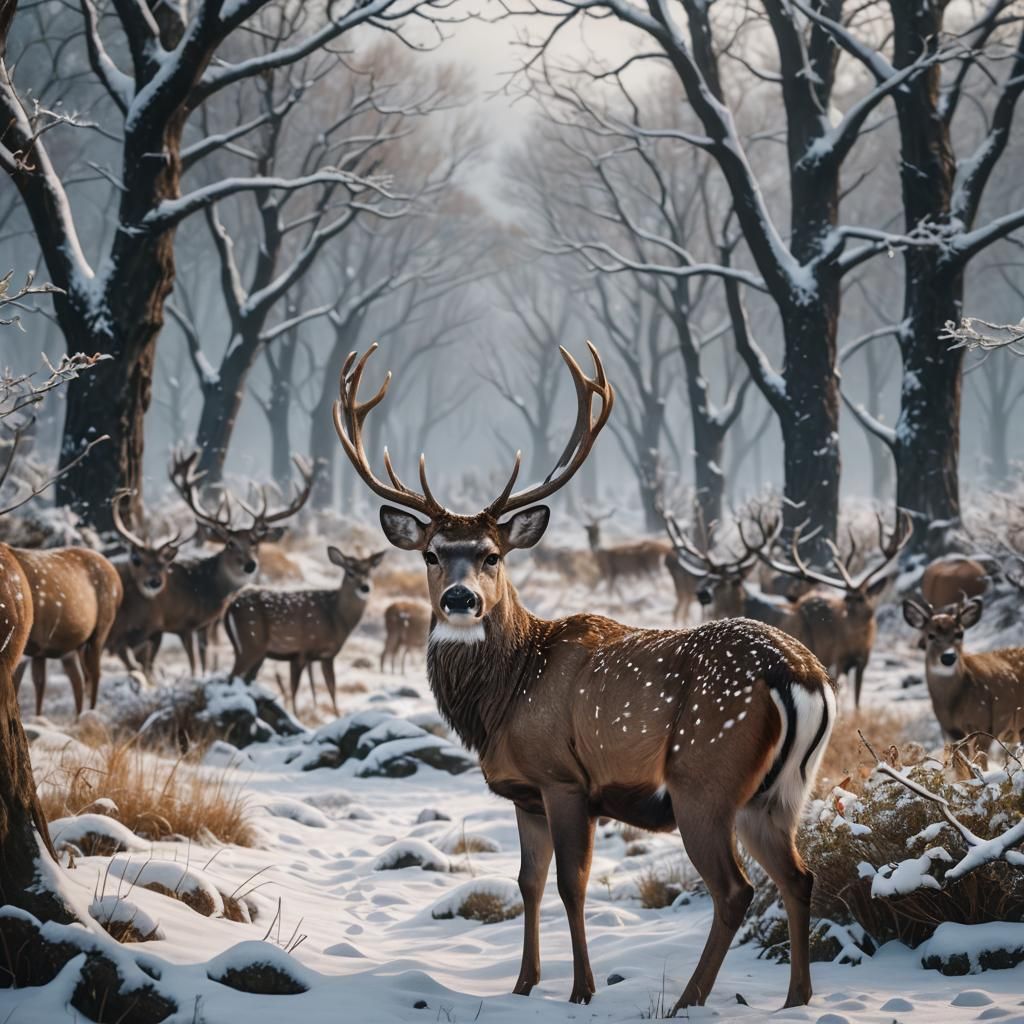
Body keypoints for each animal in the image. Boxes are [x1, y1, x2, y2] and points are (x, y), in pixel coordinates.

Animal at [225, 545, 386, 714]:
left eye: (370, 571)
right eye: (350, 572)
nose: (365, 587)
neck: (335, 618)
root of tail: (230, 606)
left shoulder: (323, 656)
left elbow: (329, 688)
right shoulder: (303, 651)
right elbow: (297, 689)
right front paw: (296, 714)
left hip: (256, 651)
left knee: (244, 679)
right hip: (251, 641)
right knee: (232, 676)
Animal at [332, 341, 836, 1013]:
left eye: (493, 555)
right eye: (431, 553)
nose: (462, 600)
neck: (506, 696)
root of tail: (801, 675)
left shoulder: (564, 778)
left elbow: (572, 886)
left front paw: (580, 990)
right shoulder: (525, 794)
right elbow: (528, 882)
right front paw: (523, 984)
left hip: (705, 776)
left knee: (735, 889)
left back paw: (688, 1000)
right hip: (778, 792)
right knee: (799, 877)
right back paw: (796, 999)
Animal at [756, 513, 911, 708]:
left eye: (862, 598)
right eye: (846, 598)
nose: (849, 611)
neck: (857, 642)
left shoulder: (863, 661)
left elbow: (857, 699)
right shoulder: (839, 657)